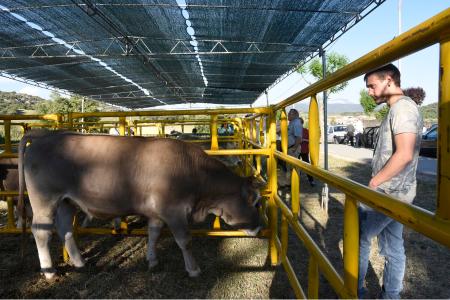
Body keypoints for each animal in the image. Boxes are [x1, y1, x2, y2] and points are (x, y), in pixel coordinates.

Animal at [19, 130, 262, 280]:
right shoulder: (174, 211)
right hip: (45, 201)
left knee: (65, 229)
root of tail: (46, 135)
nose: (261, 227)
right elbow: (185, 241)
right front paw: (193, 269)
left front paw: (152, 260)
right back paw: (49, 271)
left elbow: (153, 234)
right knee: (41, 232)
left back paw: (80, 262)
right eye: (256, 202)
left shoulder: (156, 213)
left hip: (66, 202)